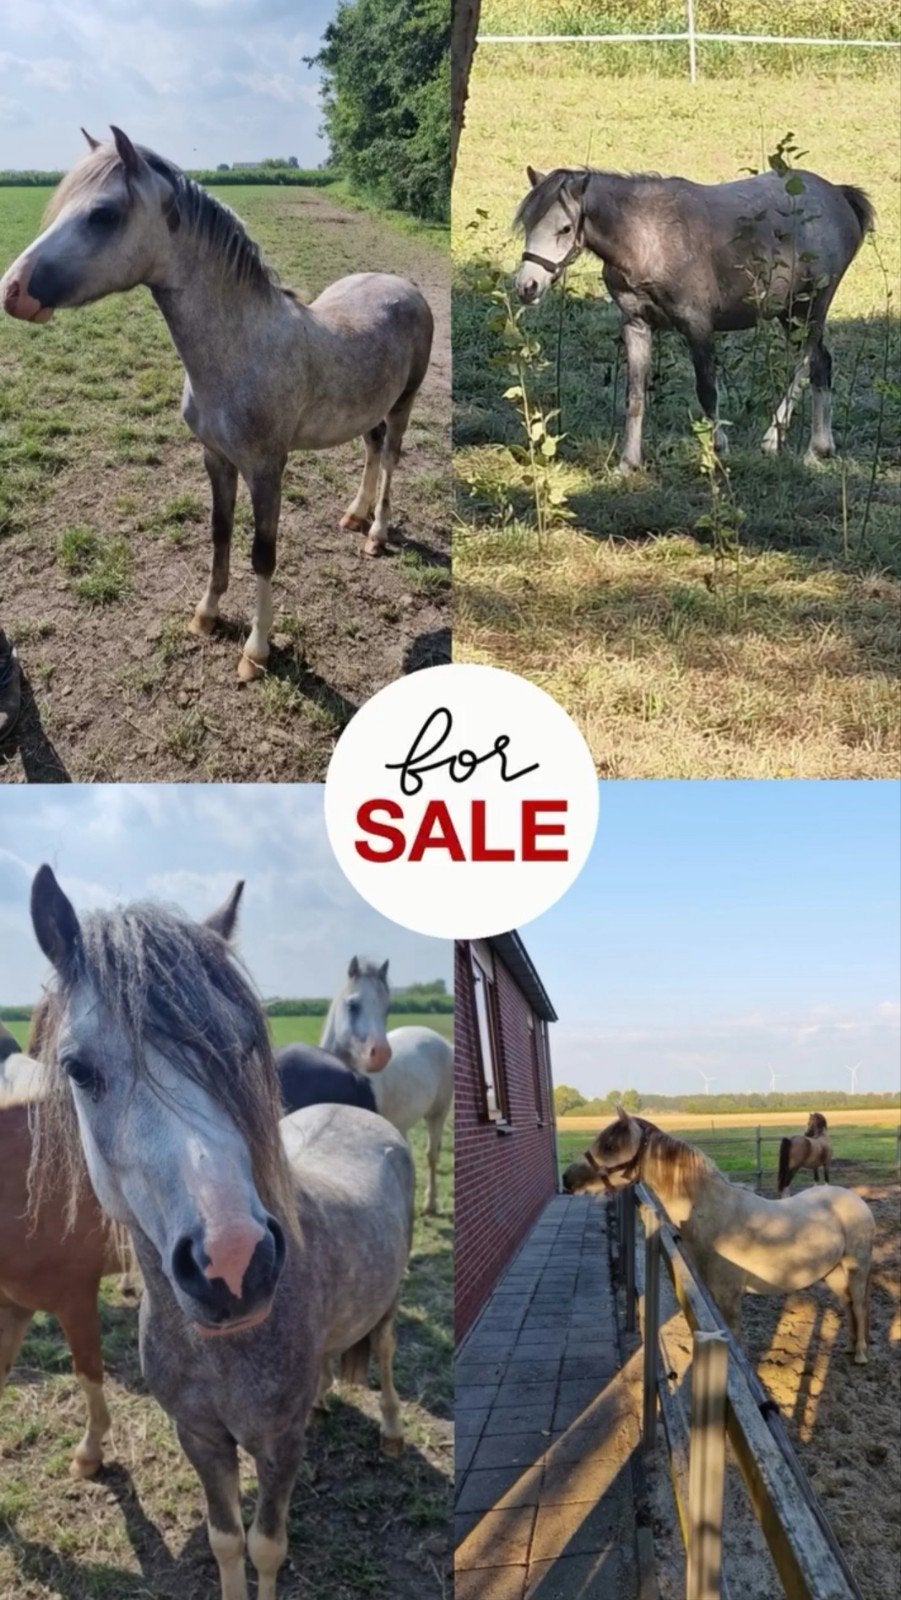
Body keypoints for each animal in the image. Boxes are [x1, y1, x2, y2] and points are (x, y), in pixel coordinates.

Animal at [0, 128, 434, 682]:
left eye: (103, 214)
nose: (12, 290)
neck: (240, 351)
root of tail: (406, 287)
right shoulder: (216, 458)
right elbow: (219, 534)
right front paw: (206, 615)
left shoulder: (267, 469)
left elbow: (263, 554)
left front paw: (256, 649)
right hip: (367, 409)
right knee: (373, 448)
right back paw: (354, 515)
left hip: (404, 402)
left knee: (393, 456)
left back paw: (376, 533)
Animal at [29, 865, 414, 1600]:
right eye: (78, 1070)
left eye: (242, 1045)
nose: (234, 1265)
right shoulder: (201, 1437)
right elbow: (226, 1541)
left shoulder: (277, 1444)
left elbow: (266, 1545)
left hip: (387, 1306)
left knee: (380, 1356)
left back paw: (388, 1429)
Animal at [278, 955, 454, 1215]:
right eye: (353, 1005)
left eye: (387, 1009)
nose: (380, 1055)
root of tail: (440, 1040)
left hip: (437, 1115)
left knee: (432, 1155)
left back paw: (430, 1204)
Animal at [514, 163, 874, 471]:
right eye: (528, 224)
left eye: (565, 228)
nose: (527, 286)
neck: (650, 238)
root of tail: (839, 195)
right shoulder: (636, 325)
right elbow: (635, 396)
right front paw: (628, 464)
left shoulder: (698, 326)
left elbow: (706, 390)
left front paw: (717, 448)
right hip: (789, 312)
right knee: (821, 363)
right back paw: (819, 448)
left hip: (811, 306)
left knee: (806, 361)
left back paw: (773, 438)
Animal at [562, 1108, 874, 1364]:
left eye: (610, 1145)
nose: (568, 1179)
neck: (711, 1213)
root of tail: (856, 1200)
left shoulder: (728, 1297)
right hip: (833, 1273)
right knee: (848, 1305)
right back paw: (849, 1347)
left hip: (856, 1269)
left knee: (859, 1305)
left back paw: (860, 1354)